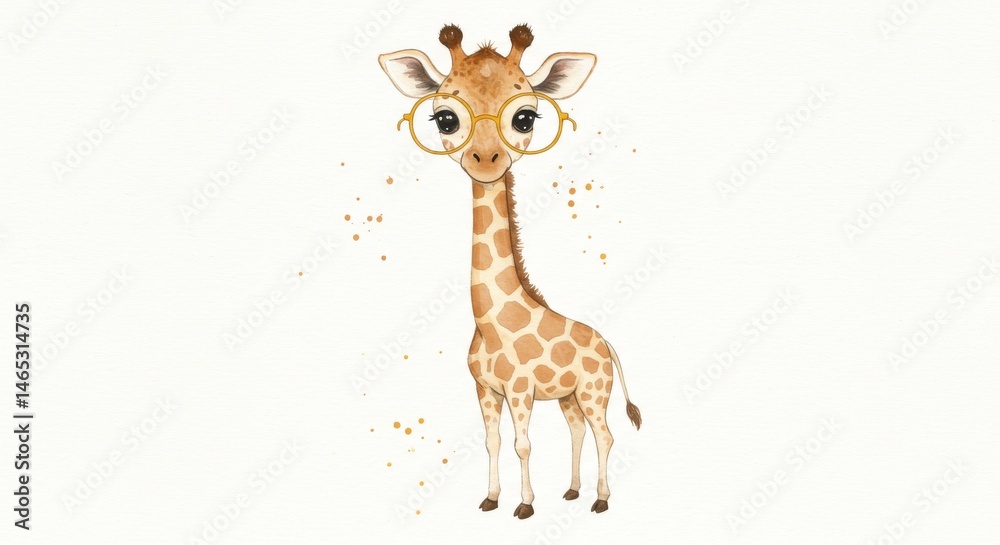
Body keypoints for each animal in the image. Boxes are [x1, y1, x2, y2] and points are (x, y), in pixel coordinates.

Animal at [379, 24, 641, 519]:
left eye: (525, 118)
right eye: (445, 119)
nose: (486, 161)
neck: (491, 322)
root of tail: (607, 344)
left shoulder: (519, 389)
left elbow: (522, 444)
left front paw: (524, 506)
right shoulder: (486, 389)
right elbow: (492, 441)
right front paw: (491, 498)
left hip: (595, 389)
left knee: (606, 433)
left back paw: (600, 500)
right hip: (569, 395)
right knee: (578, 429)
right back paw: (573, 491)